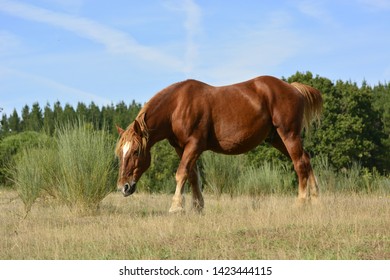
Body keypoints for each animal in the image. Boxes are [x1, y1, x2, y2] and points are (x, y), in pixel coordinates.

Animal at [114, 74, 322, 212]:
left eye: (135, 152)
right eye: (120, 153)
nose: (123, 187)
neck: (177, 107)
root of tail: (293, 88)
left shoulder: (194, 145)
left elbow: (181, 173)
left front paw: (176, 207)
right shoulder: (181, 148)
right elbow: (192, 176)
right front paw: (197, 207)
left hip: (289, 135)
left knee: (300, 163)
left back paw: (301, 202)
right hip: (278, 139)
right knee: (306, 159)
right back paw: (315, 199)